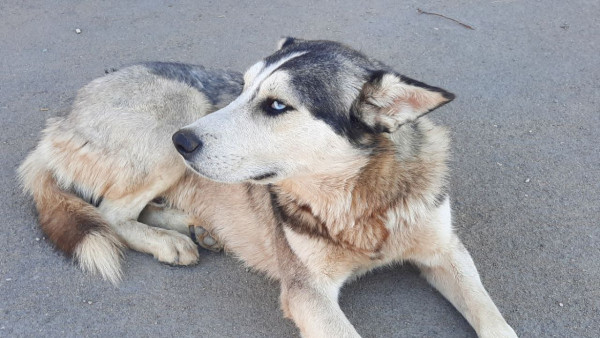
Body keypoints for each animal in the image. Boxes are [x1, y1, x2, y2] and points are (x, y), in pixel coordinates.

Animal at [18, 38, 516, 336]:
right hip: (182, 109)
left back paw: (193, 227)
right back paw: (167, 241)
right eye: (241, 88)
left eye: (276, 105)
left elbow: (494, 319)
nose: (182, 141)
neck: (360, 204)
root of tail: (58, 121)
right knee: (110, 212)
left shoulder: (445, 251)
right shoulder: (307, 292)